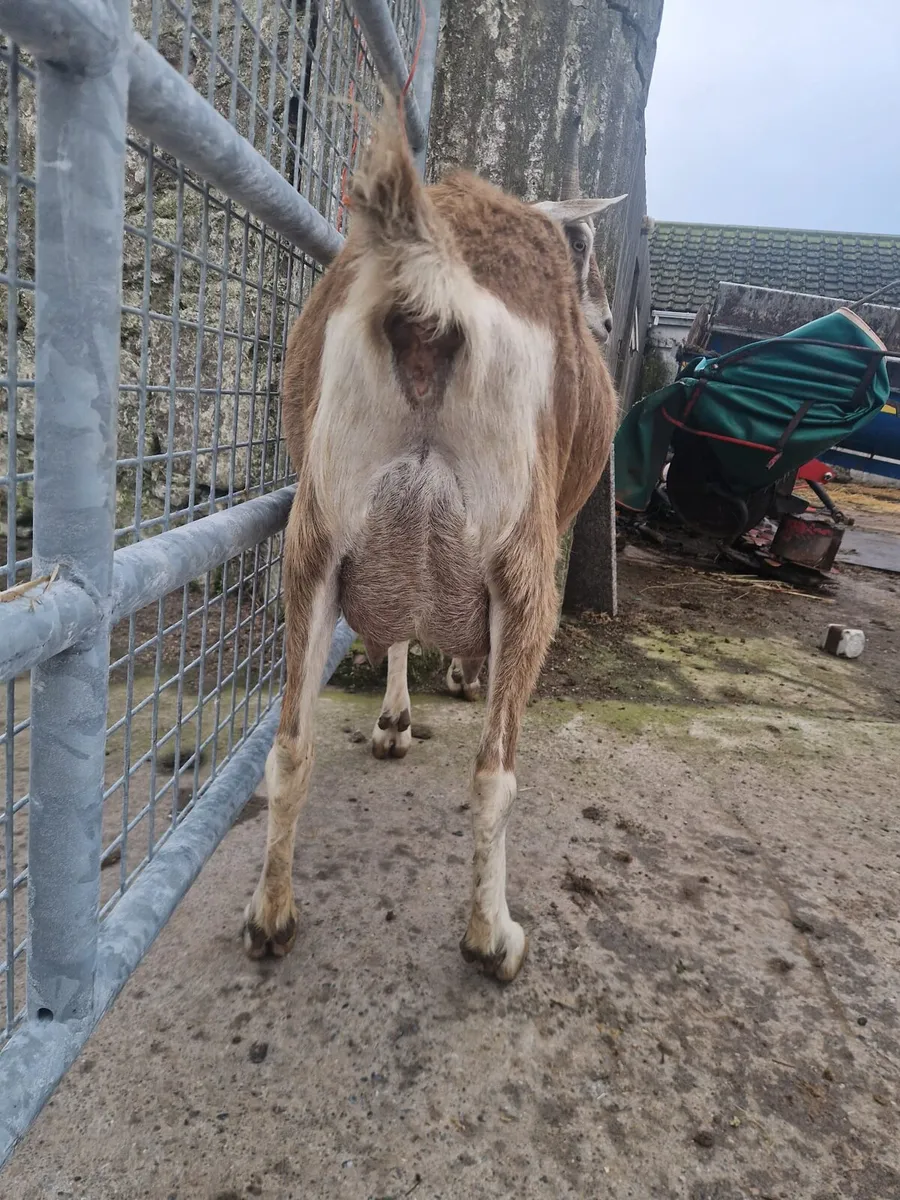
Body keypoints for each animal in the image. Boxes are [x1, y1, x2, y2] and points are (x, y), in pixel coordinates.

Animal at [242, 102, 621, 982]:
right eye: (586, 251)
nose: (608, 322)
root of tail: (431, 283)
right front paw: (458, 678)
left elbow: (396, 635)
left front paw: (395, 722)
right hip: (521, 555)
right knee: (494, 775)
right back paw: (493, 939)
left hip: (316, 534)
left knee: (290, 744)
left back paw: (271, 918)